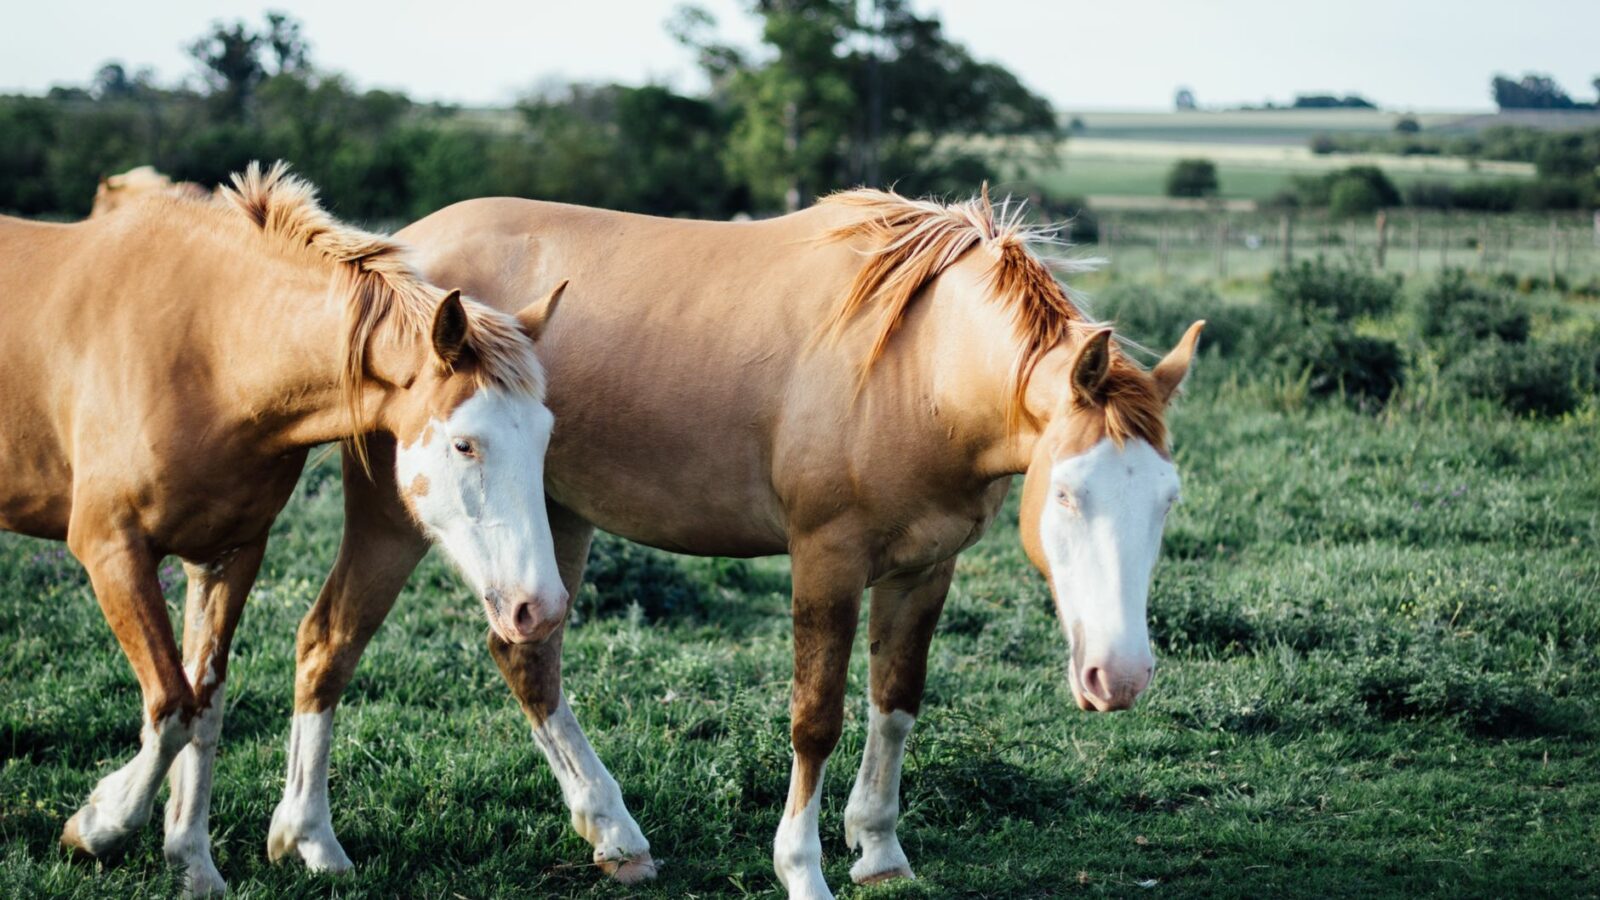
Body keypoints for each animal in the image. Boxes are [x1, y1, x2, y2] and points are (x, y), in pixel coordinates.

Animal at [0, 162, 569, 895]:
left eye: (545, 436)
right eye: (465, 444)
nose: (541, 608)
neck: (207, 350)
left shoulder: (227, 556)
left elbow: (204, 705)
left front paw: (192, 861)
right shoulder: (112, 550)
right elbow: (171, 707)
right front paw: (97, 824)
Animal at [268, 188, 1203, 898]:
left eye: (1167, 501)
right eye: (1070, 494)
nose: (1119, 677)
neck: (920, 368)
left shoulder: (926, 567)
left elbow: (896, 702)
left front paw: (880, 851)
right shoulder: (827, 559)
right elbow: (816, 719)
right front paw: (804, 869)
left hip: (551, 520)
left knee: (525, 655)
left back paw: (614, 835)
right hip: (395, 518)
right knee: (329, 641)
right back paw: (310, 839)